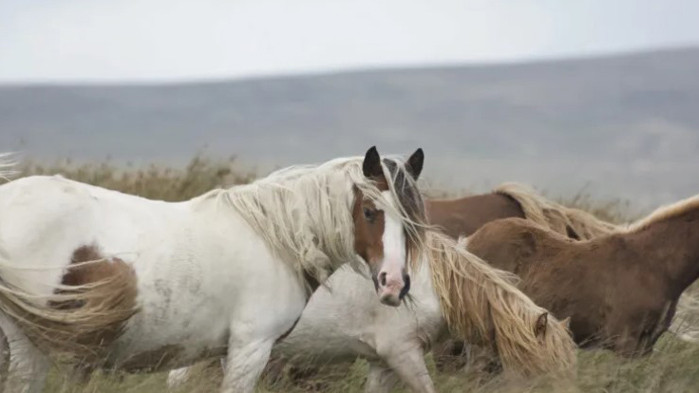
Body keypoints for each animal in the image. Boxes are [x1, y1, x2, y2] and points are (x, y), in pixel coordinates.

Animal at [0, 147, 426, 392]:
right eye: (370, 212)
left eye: (411, 219)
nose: (394, 285)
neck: (275, 238)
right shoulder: (251, 348)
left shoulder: (226, 351)